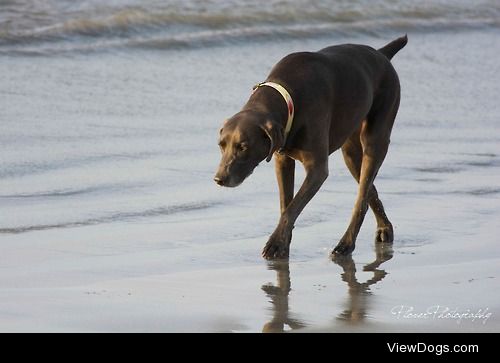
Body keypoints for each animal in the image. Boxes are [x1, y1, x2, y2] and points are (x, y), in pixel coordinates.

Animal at [214, 36, 406, 258]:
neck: (287, 97)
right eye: (221, 145)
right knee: (367, 191)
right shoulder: (282, 160)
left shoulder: (317, 170)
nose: (219, 179)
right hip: (350, 150)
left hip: (377, 133)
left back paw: (346, 244)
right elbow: (286, 204)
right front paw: (283, 242)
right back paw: (384, 228)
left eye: (243, 147)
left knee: (362, 197)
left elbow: (292, 207)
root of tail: (381, 53)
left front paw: (275, 244)